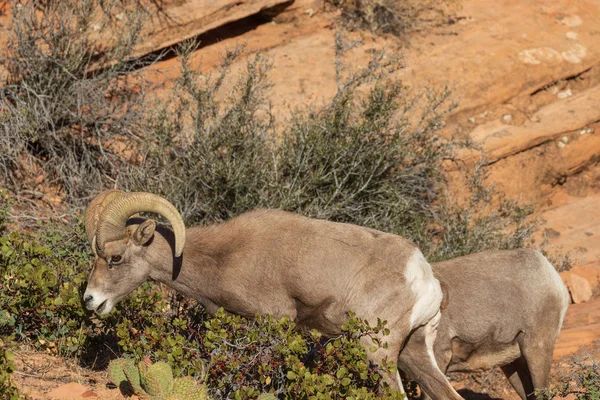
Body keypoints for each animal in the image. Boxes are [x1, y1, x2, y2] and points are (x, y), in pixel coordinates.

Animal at [81, 191, 460, 396]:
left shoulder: (276, 321)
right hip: (414, 353)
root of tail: (423, 275)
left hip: (378, 351)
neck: (224, 257)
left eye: (115, 258)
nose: (90, 300)